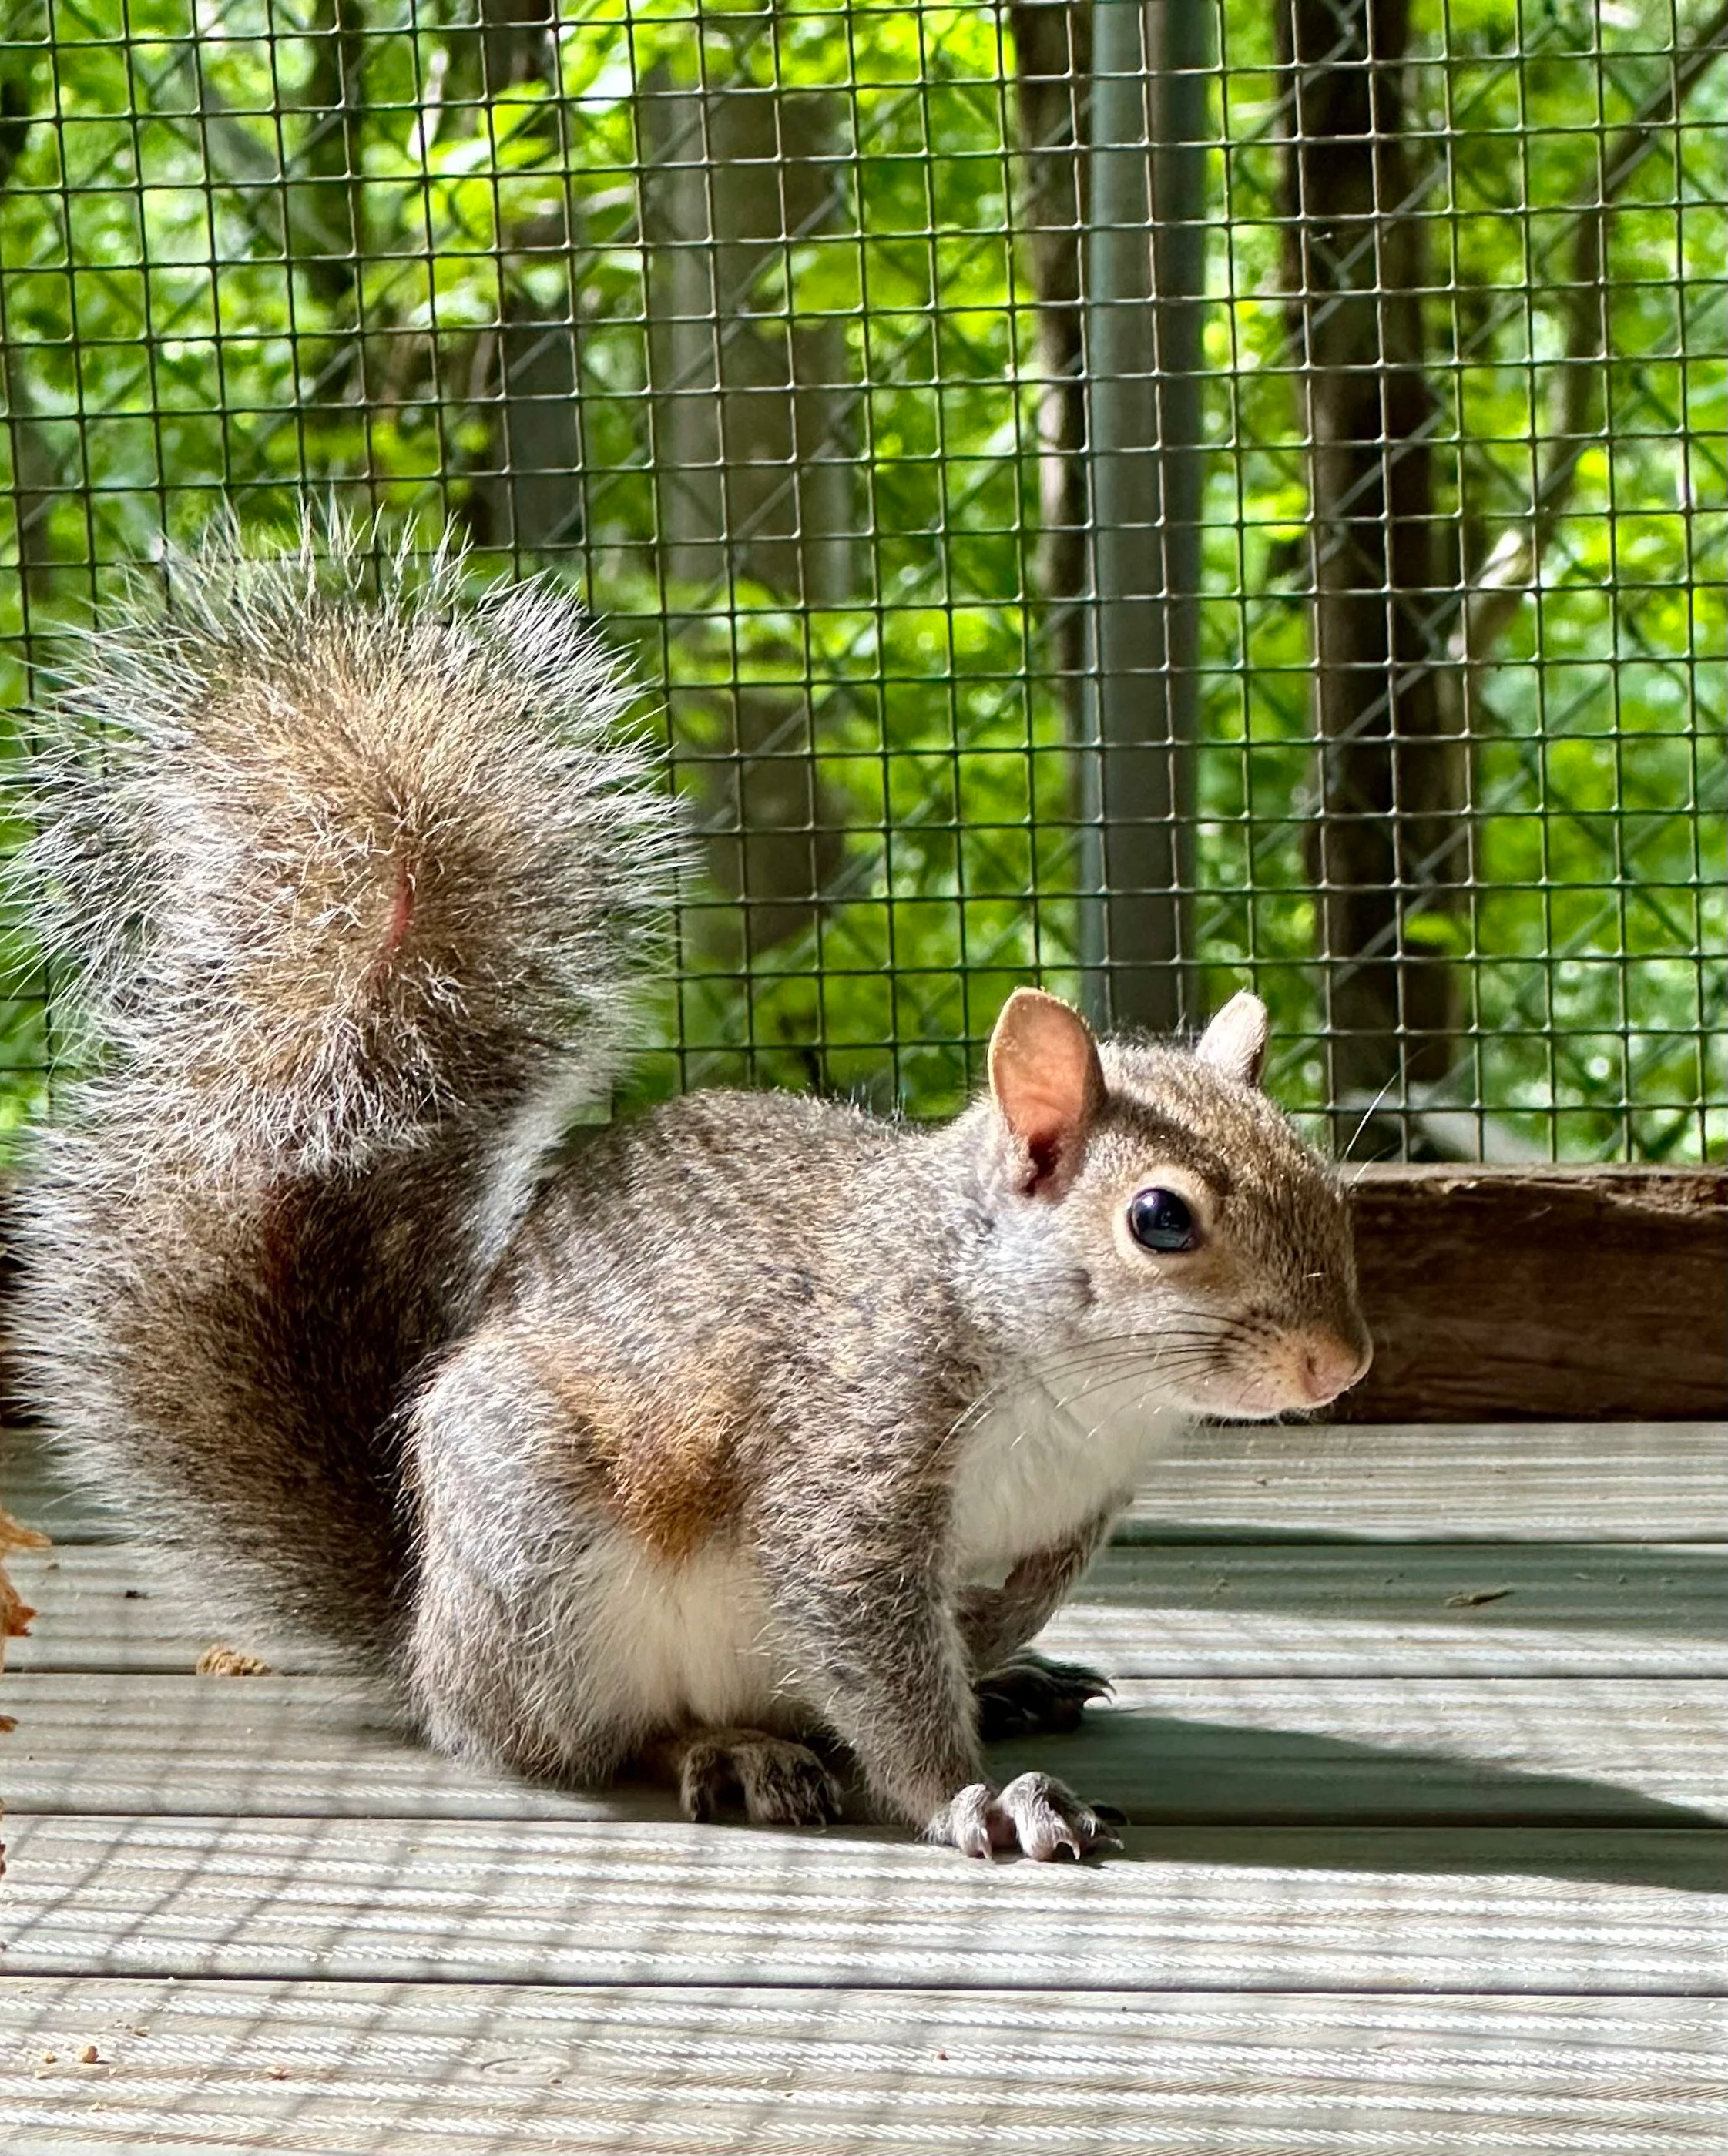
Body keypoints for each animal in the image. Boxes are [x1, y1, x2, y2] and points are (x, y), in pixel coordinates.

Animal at [8, 527, 1371, 1862]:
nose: (1338, 1363)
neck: (1067, 1382)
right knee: (574, 1739)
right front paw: (968, 1791)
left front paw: (991, 1674)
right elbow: (871, 1648)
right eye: (1159, 1218)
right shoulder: (845, 1455)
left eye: (1324, 1182)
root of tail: (425, 1640)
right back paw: (725, 1747)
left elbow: (968, 1619)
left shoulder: (1060, 1518)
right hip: (542, 1549)